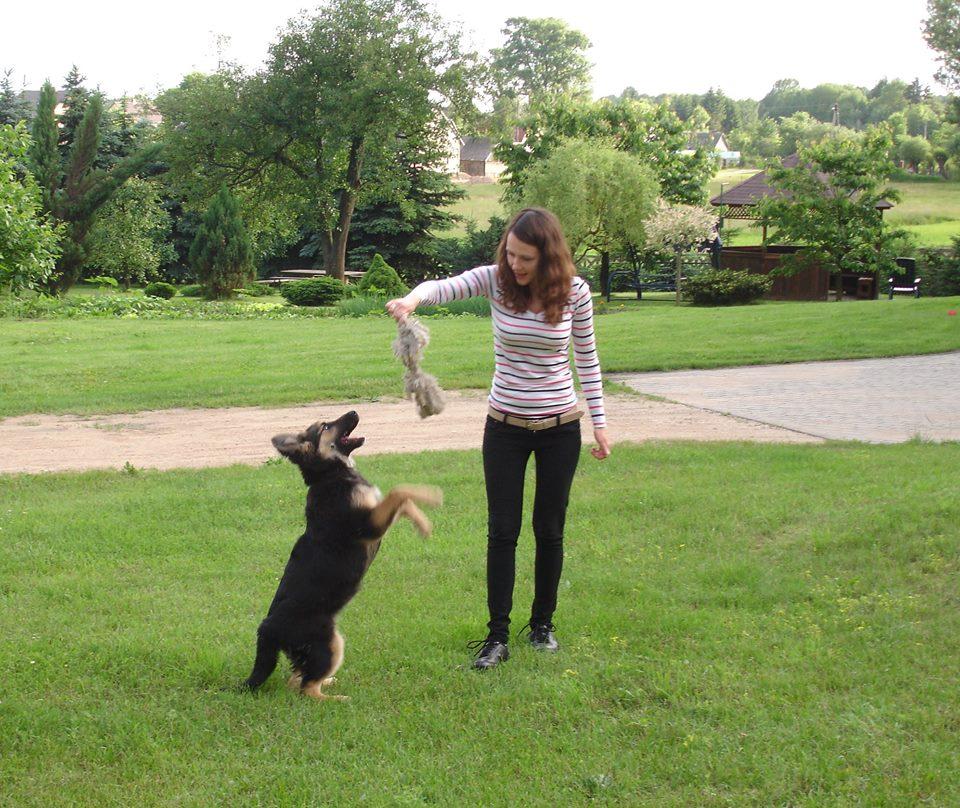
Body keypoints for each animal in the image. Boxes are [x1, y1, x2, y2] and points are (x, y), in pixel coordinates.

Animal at [246, 410, 444, 700]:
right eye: (325, 426)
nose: (354, 412)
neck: (330, 474)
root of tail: (267, 628)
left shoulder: (375, 514)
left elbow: (402, 500)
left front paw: (423, 523)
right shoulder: (367, 525)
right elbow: (399, 490)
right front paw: (432, 496)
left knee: (297, 681)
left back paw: (329, 683)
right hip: (328, 643)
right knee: (307, 689)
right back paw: (338, 699)